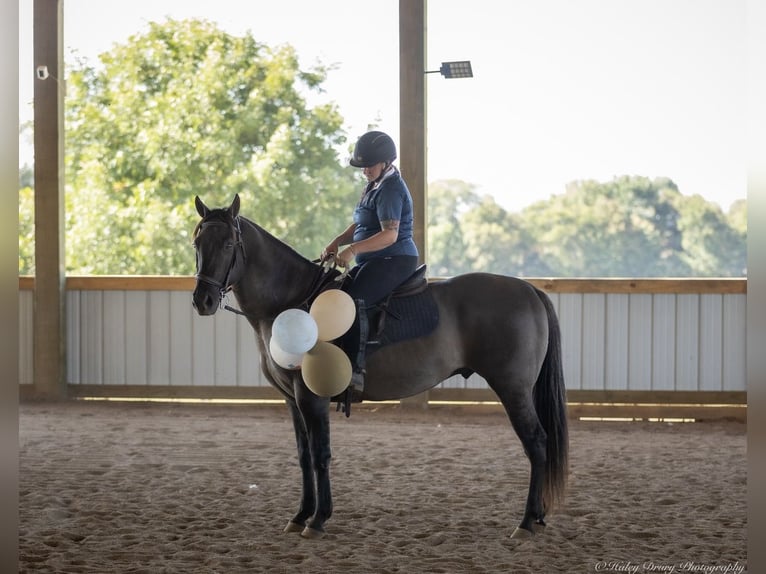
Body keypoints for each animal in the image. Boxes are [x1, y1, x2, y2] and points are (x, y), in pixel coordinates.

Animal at [191, 194, 568, 540]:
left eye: (229, 244)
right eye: (197, 243)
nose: (202, 301)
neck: (292, 304)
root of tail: (530, 290)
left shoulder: (312, 397)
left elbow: (320, 454)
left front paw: (318, 520)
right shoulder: (291, 399)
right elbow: (302, 456)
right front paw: (300, 515)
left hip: (512, 388)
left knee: (536, 443)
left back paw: (526, 522)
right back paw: (535, 518)